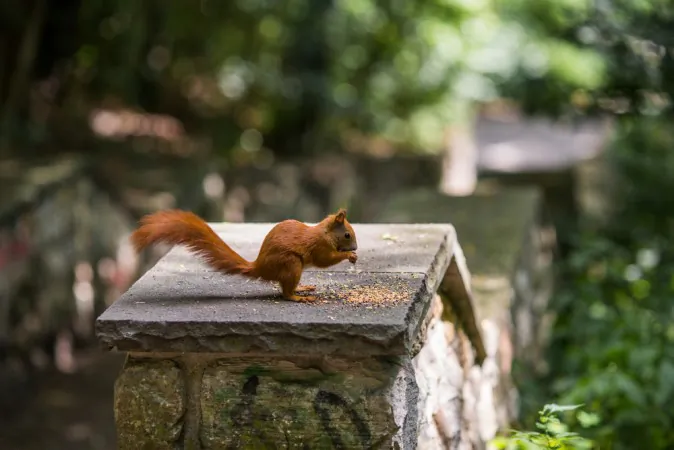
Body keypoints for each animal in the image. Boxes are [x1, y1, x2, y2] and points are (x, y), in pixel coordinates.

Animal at [130, 208, 358, 302]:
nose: (355, 248)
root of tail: (259, 266)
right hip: (291, 264)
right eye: (347, 234)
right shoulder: (319, 246)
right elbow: (324, 260)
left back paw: (302, 288)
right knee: (285, 293)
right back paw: (298, 297)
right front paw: (348, 257)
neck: (325, 233)